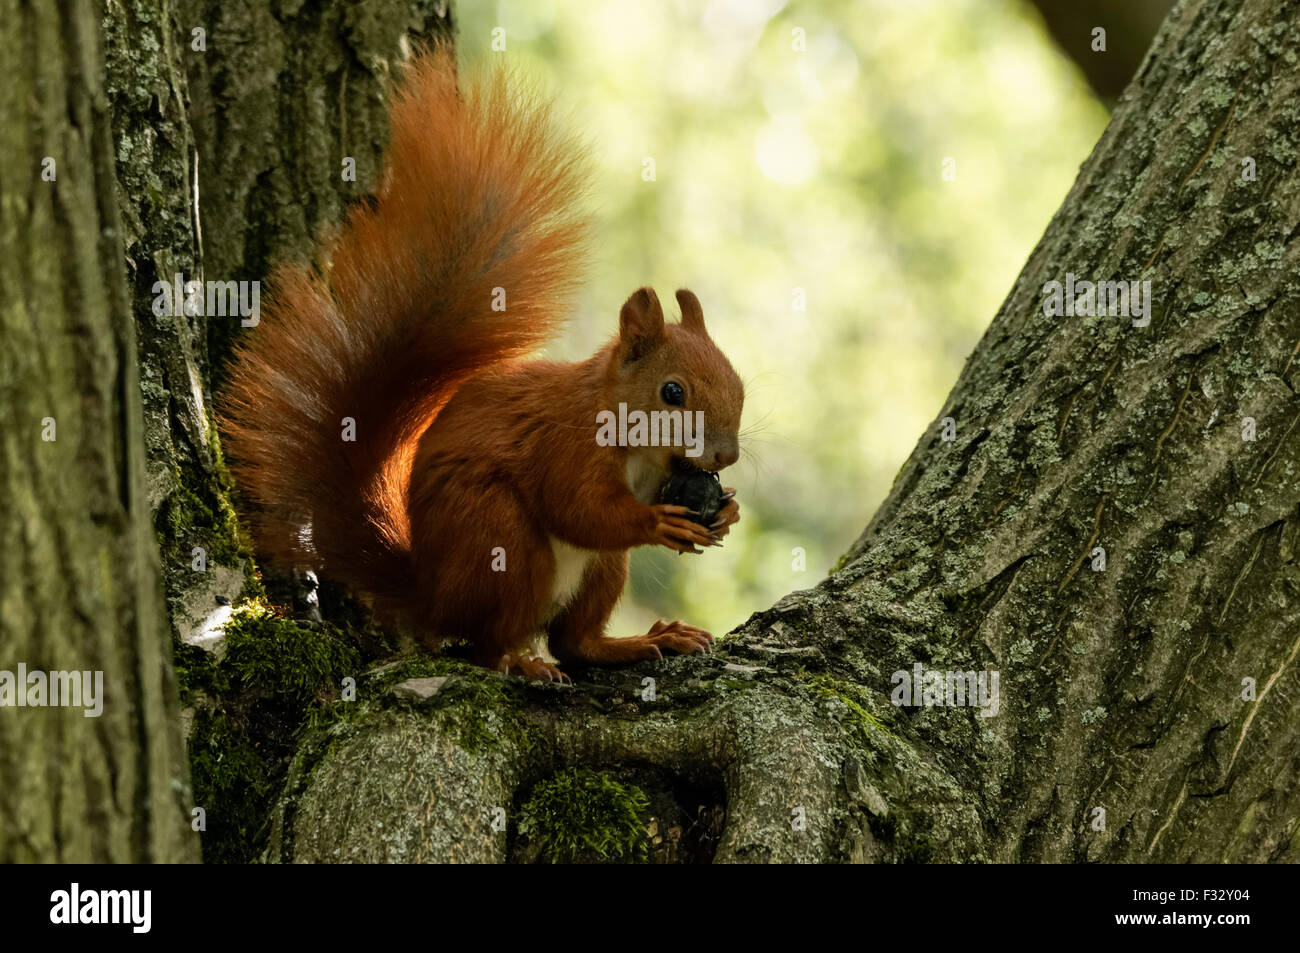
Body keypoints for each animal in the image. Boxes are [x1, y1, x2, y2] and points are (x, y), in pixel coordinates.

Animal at [218, 48, 738, 681]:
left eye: (738, 384)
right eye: (672, 392)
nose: (727, 457)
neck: (637, 445)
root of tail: (431, 593)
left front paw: (727, 512)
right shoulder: (566, 444)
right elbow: (579, 509)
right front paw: (657, 523)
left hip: (599, 570)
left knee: (574, 640)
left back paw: (638, 641)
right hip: (500, 538)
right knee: (488, 642)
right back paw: (521, 662)